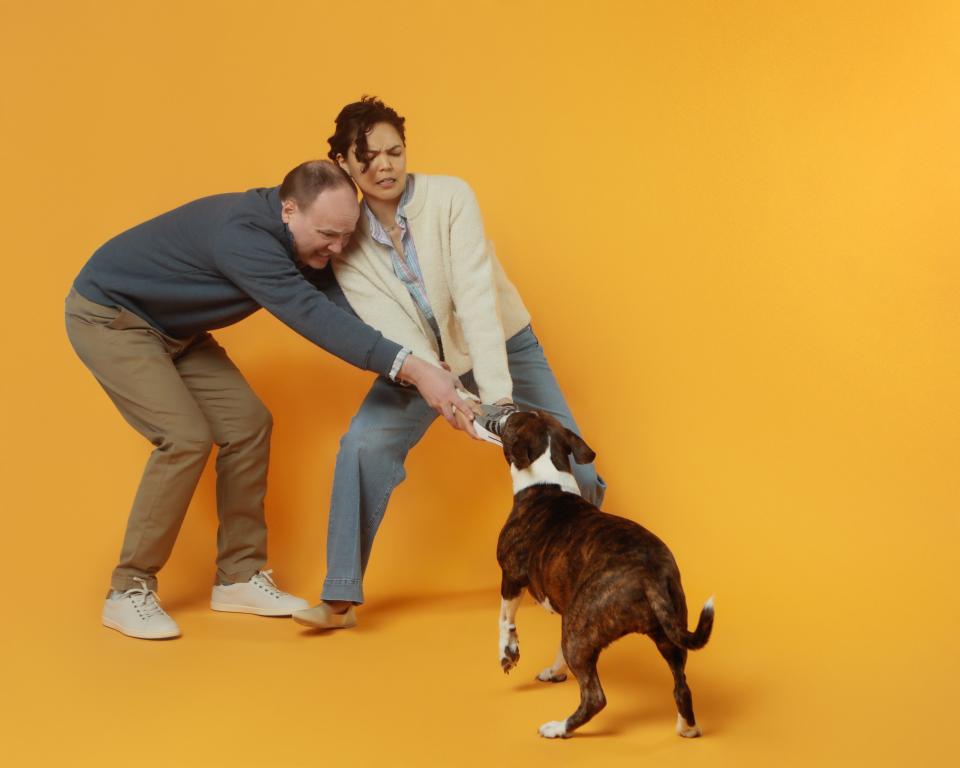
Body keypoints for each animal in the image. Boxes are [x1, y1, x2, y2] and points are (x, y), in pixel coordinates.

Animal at [496, 412, 712, 740]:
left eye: (512, 422)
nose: (505, 411)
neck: (546, 480)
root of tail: (649, 572)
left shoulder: (511, 576)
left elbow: (505, 619)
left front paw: (508, 654)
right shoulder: (567, 609)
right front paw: (554, 671)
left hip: (581, 630)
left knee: (595, 697)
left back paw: (559, 728)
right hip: (667, 632)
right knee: (681, 685)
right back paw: (687, 728)